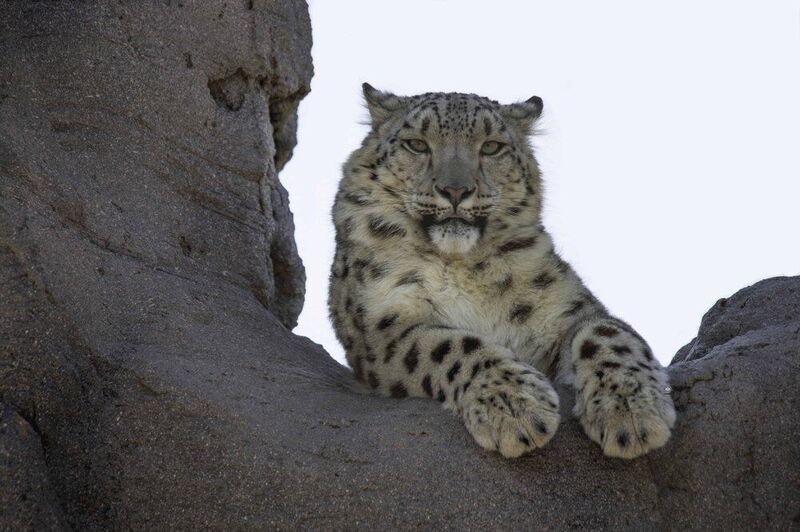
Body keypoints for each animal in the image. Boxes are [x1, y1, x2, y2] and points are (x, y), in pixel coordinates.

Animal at [328, 84, 675, 459]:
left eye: (492, 146)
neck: (460, 266)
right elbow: (451, 344)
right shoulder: (382, 326)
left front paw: (631, 409)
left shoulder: (566, 307)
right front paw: (515, 408)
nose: (455, 190)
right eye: (416, 144)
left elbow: (606, 332)